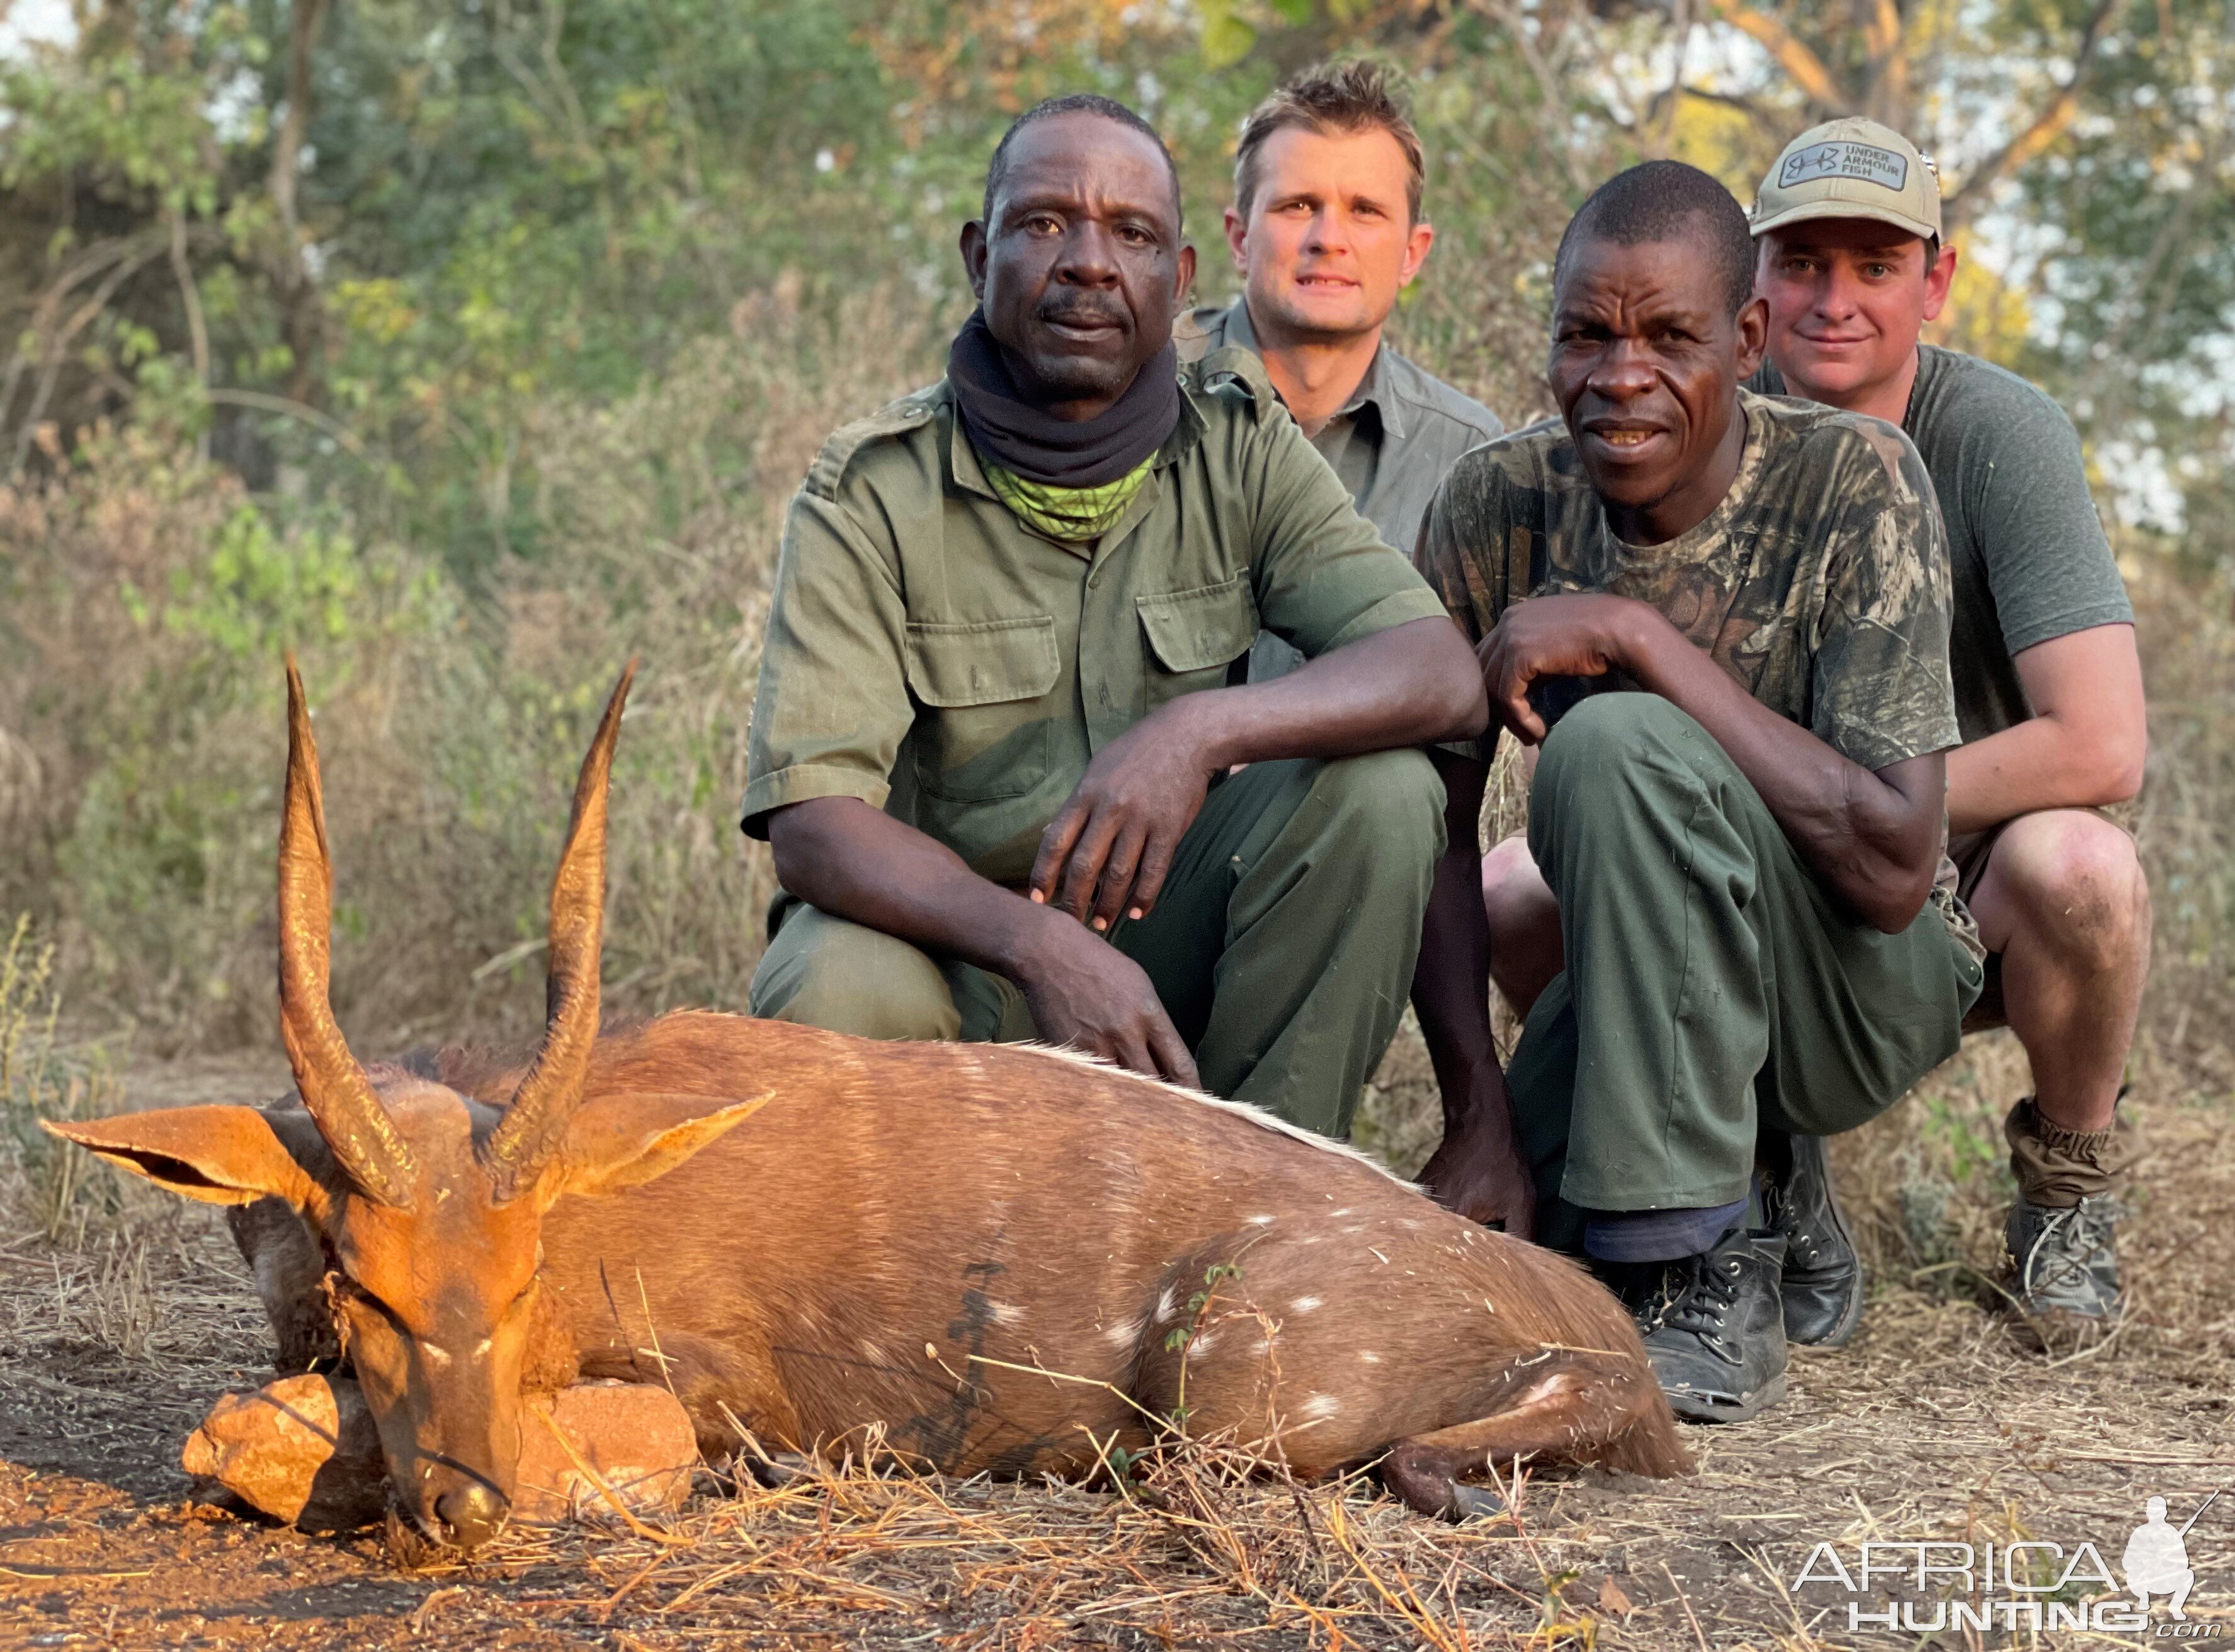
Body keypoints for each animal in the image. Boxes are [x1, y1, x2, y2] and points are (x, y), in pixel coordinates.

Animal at [48, 666, 1690, 1556]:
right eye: (359, 1284)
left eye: (519, 1286)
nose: (463, 1504)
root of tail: (1601, 1338)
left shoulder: (718, 1389)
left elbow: (249, 1437)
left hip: (1217, 1381)